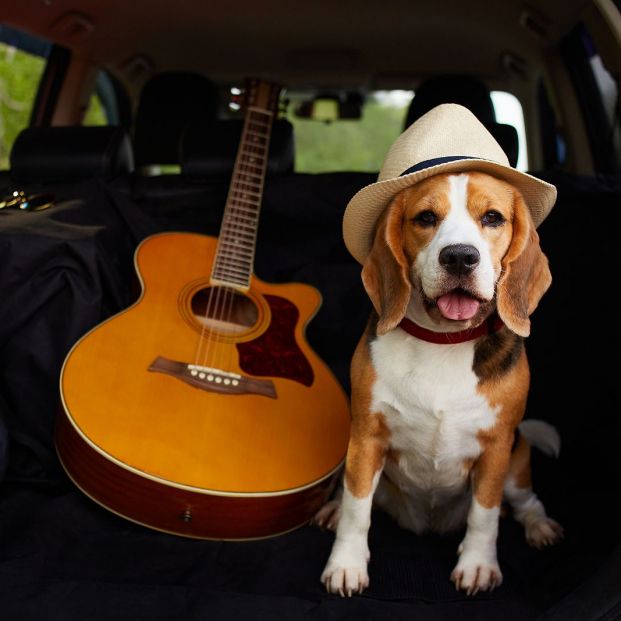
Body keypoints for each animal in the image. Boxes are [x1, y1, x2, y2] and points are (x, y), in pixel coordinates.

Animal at [314, 170, 560, 596]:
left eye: (493, 218)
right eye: (426, 218)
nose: (459, 256)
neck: (444, 341)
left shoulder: (496, 450)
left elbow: (485, 515)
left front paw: (478, 565)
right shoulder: (366, 438)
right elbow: (357, 508)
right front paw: (345, 564)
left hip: (517, 464)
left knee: (526, 503)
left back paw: (539, 527)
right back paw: (332, 508)